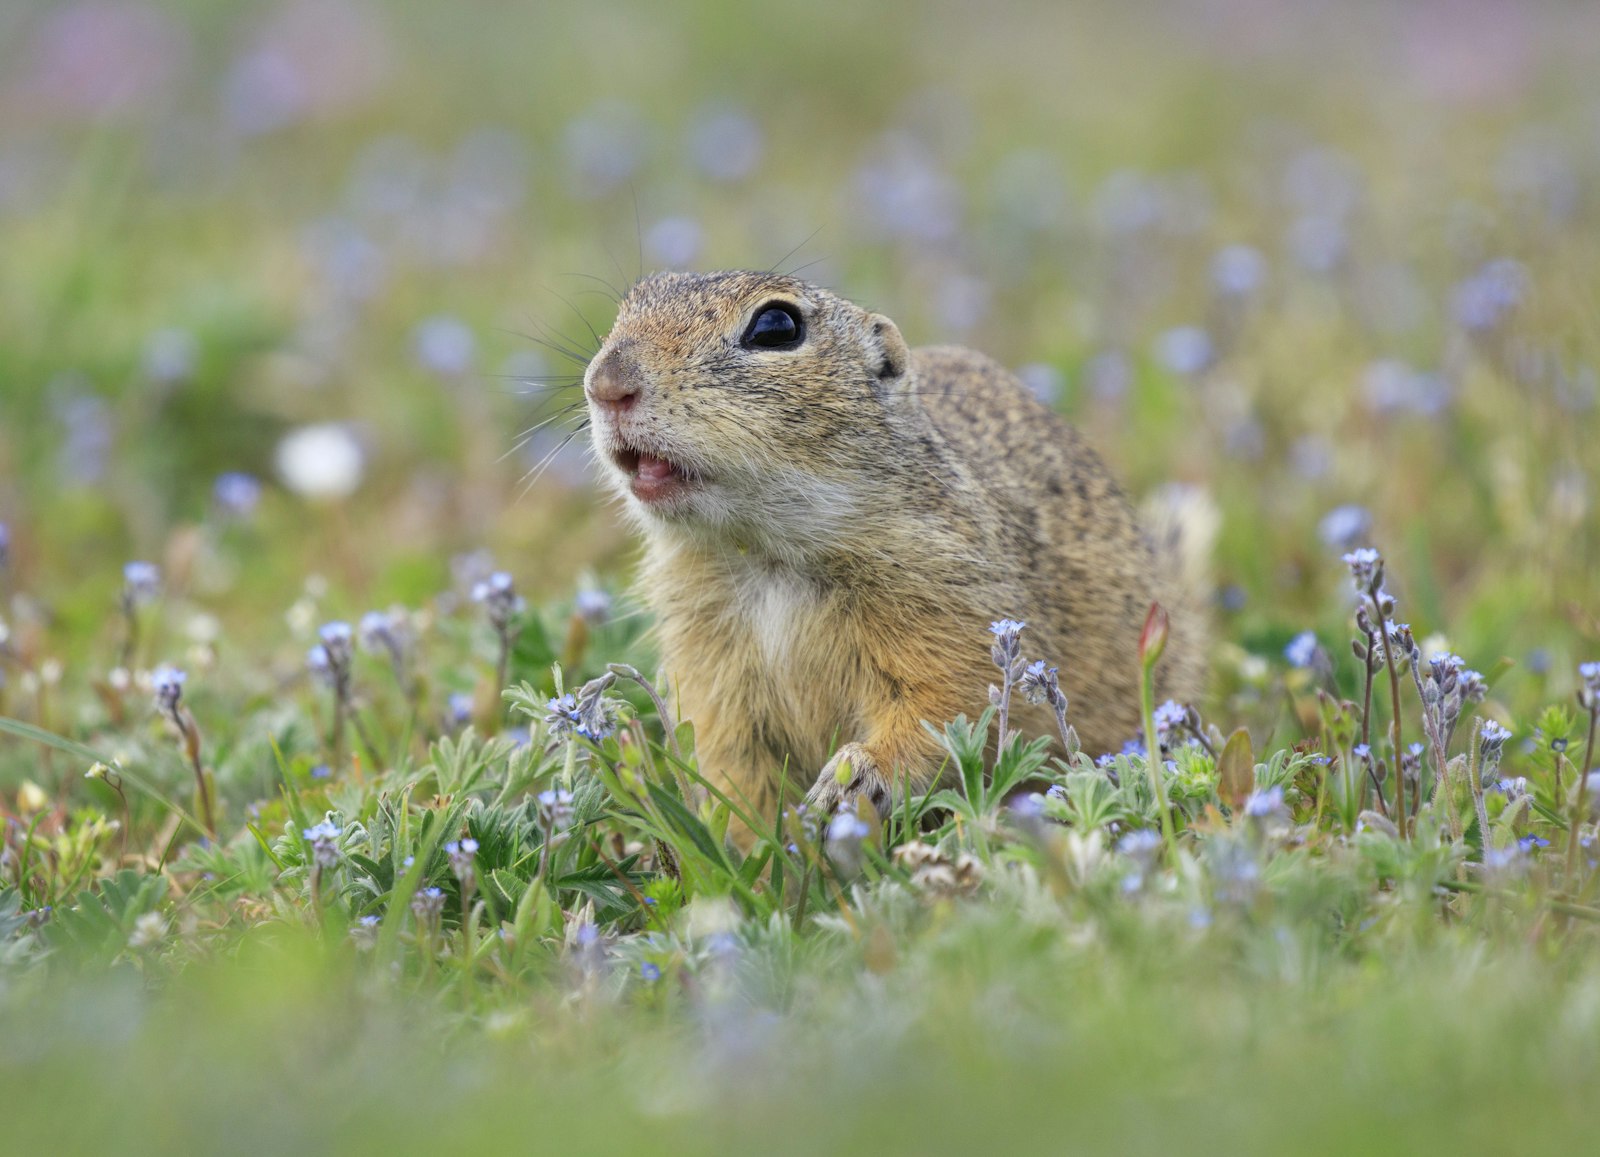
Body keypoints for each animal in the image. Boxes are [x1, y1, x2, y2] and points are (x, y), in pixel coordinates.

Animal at [582, 272, 1203, 832]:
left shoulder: (948, 603)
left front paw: (851, 780)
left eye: (776, 326)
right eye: (632, 302)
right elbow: (734, 766)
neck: (765, 553)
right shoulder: (709, 667)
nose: (606, 384)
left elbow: (945, 707)